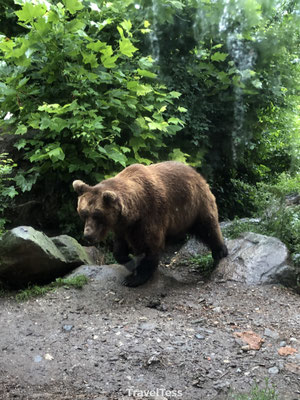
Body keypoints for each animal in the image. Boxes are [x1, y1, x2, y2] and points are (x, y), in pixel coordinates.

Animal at [72, 161, 227, 286]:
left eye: (97, 215)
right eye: (83, 213)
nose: (88, 235)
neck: (135, 211)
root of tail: (198, 174)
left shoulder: (151, 215)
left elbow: (151, 245)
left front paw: (135, 278)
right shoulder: (123, 226)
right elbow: (119, 247)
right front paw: (130, 262)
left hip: (195, 205)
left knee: (208, 227)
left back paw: (220, 251)